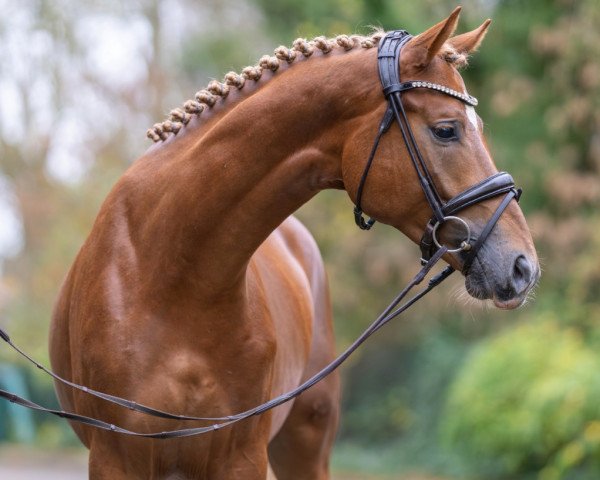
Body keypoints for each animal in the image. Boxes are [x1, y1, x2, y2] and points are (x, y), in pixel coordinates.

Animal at [50, 8, 540, 480]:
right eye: (446, 130)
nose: (523, 267)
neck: (169, 276)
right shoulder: (116, 460)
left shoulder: (241, 458)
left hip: (305, 442)